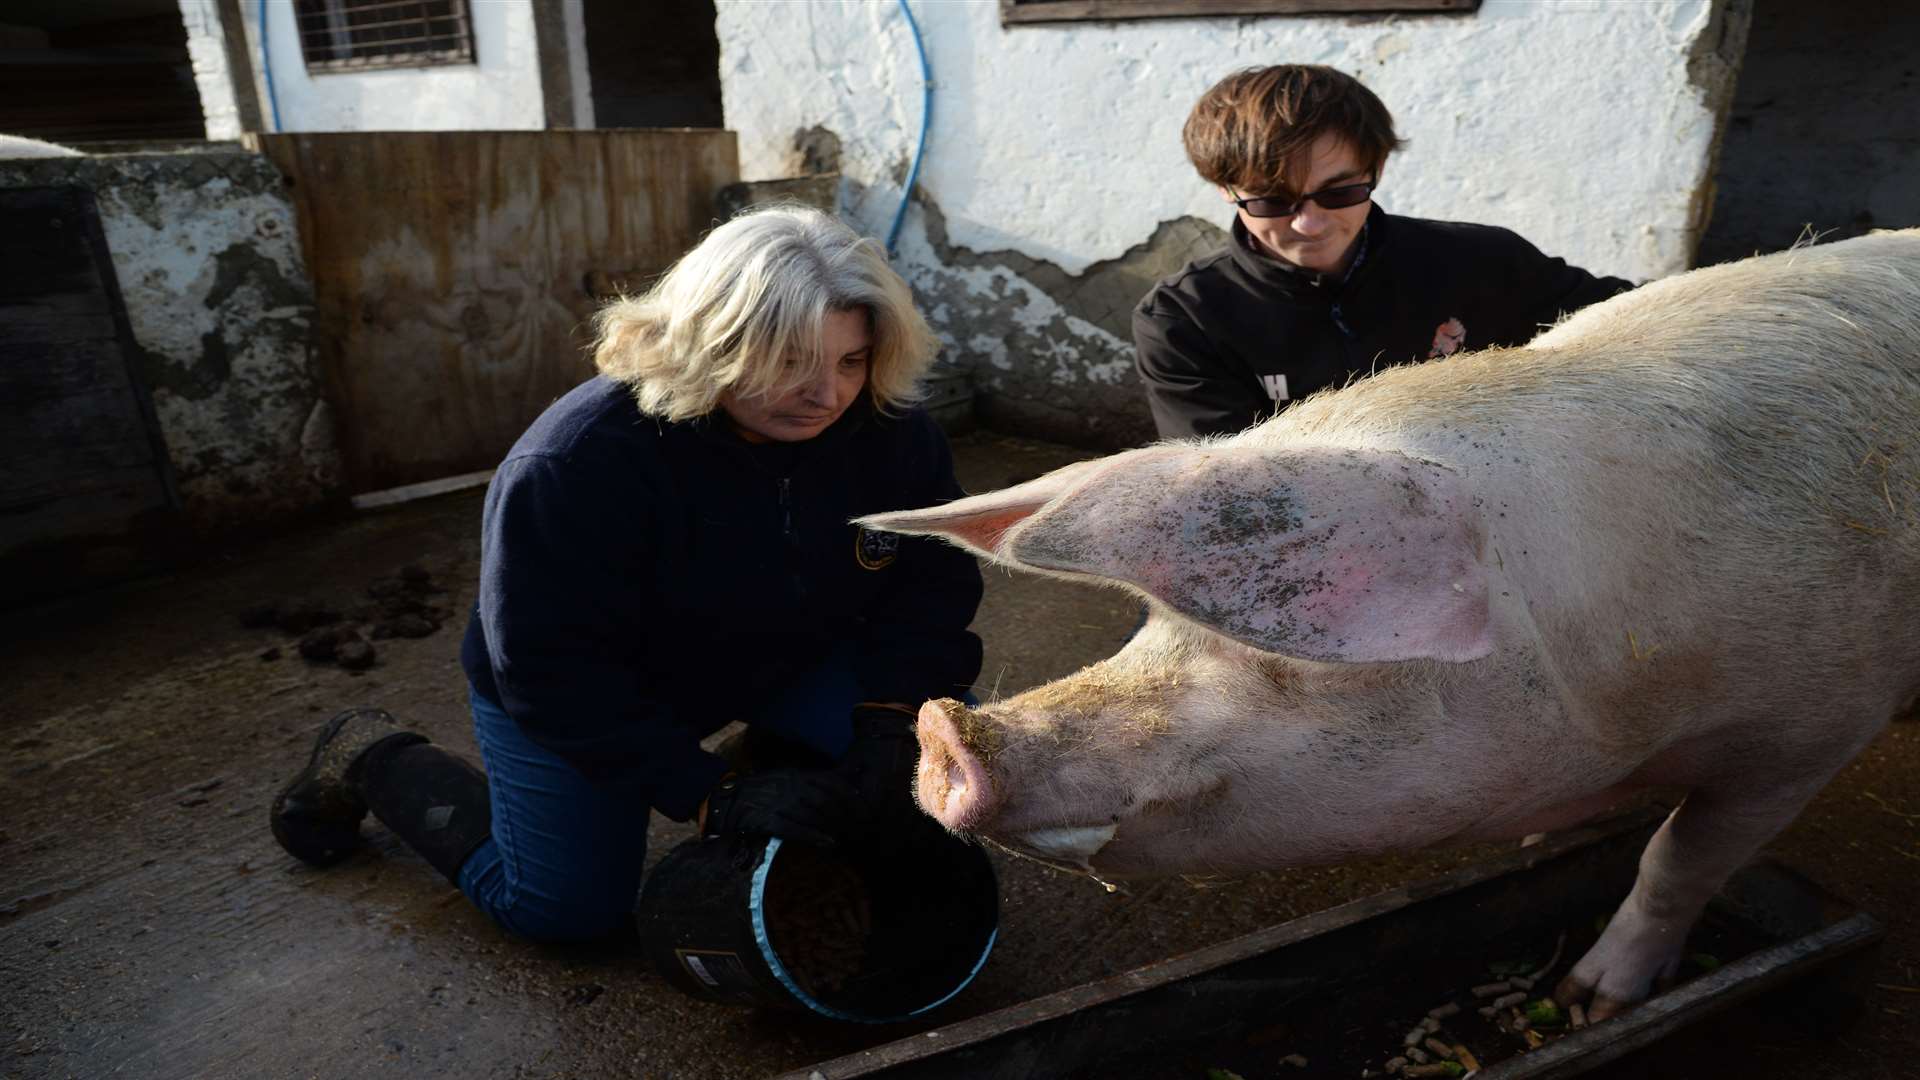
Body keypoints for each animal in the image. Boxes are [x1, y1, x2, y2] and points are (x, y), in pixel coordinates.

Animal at [864, 228, 1920, 1014]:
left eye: (1288, 655)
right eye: (1156, 625)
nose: (943, 731)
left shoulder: (1812, 728)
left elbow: (1676, 863)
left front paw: (1590, 1003)